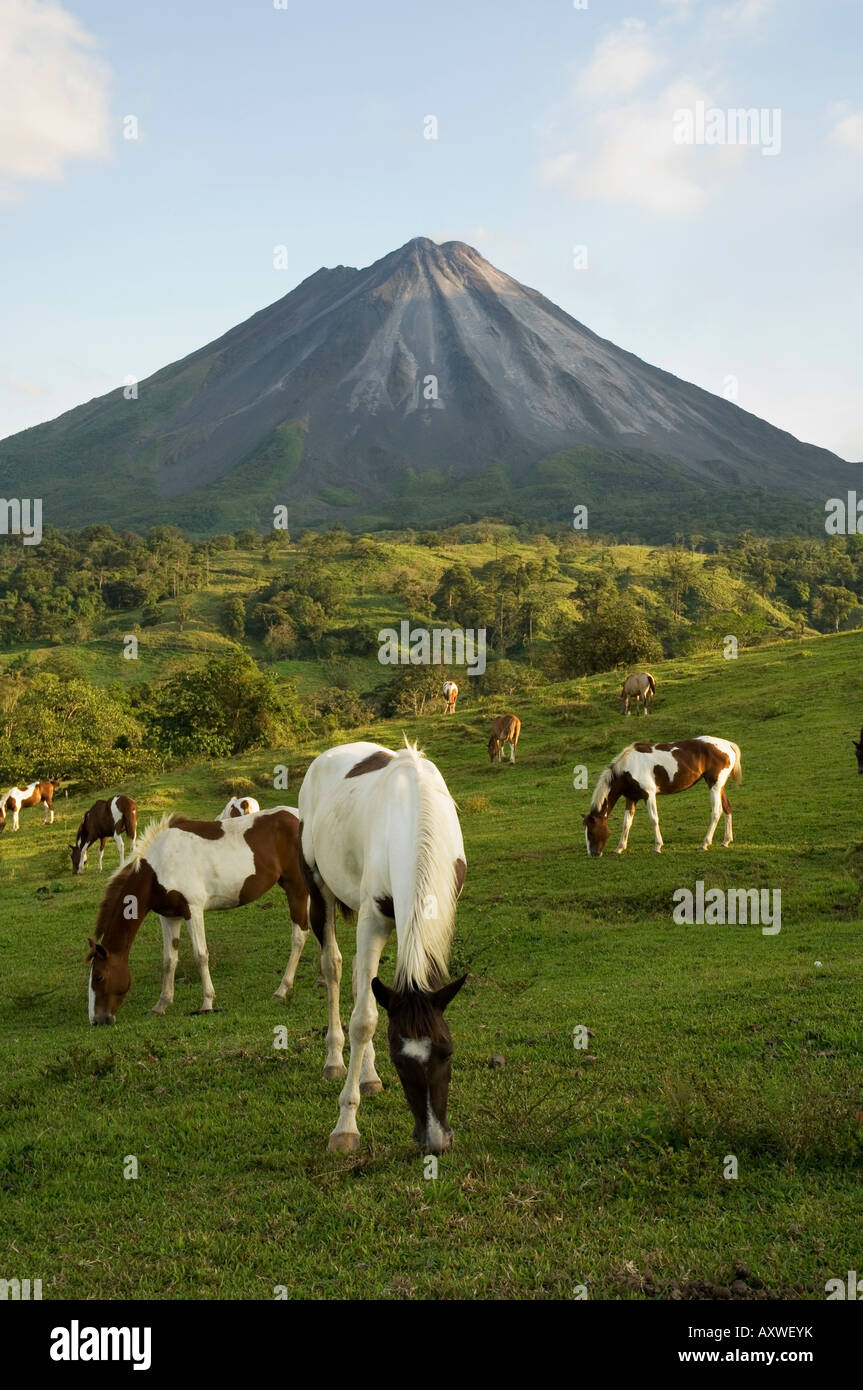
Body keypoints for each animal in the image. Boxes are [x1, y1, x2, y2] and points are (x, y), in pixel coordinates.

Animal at [84, 806, 311, 1023]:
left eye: (99, 977)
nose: (97, 1020)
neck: (158, 867)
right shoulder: (169, 917)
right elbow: (169, 960)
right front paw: (160, 1006)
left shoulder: (192, 910)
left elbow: (200, 955)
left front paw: (207, 1003)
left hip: (297, 889)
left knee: (299, 936)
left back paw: (282, 990)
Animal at [297, 745, 472, 1156]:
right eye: (400, 1061)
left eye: (448, 1051)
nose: (436, 1139)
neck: (413, 819)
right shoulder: (372, 918)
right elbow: (364, 1020)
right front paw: (345, 1125)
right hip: (319, 890)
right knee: (335, 968)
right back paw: (335, 1059)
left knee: (362, 979)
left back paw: (368, 1075)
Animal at [586, 739, 739, 856]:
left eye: (592, 832)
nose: (593, 854)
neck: (628, 767)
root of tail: (728, 745)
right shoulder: (631, 798)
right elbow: (626, 823)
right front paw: (620, 847)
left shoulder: (649, 795)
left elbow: (654, 820)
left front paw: (657, 847)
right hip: (718, 786)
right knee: (727, 808)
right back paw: (726, 840)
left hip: (714, 786)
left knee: (716, 812)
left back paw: (705, 844)